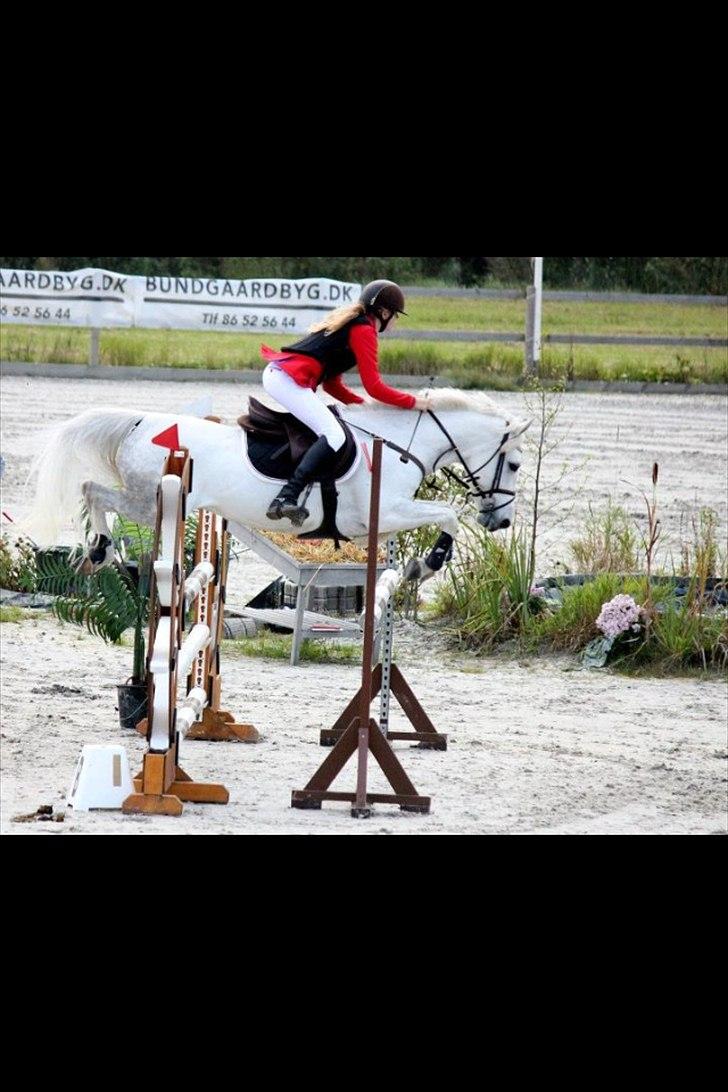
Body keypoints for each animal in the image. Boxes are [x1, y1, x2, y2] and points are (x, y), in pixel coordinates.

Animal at [24, 390, 530, 585]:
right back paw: (100, 551)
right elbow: (449, 514)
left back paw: (99, 554)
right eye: (515, 465)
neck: (399, 444)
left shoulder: (381, 524)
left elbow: (434, 522)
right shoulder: (382, 512)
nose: (501, 521)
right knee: (92, 489)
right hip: (149, 500)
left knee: (93, 490)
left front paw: (411, 568)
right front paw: (427, 565)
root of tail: (137, 421)